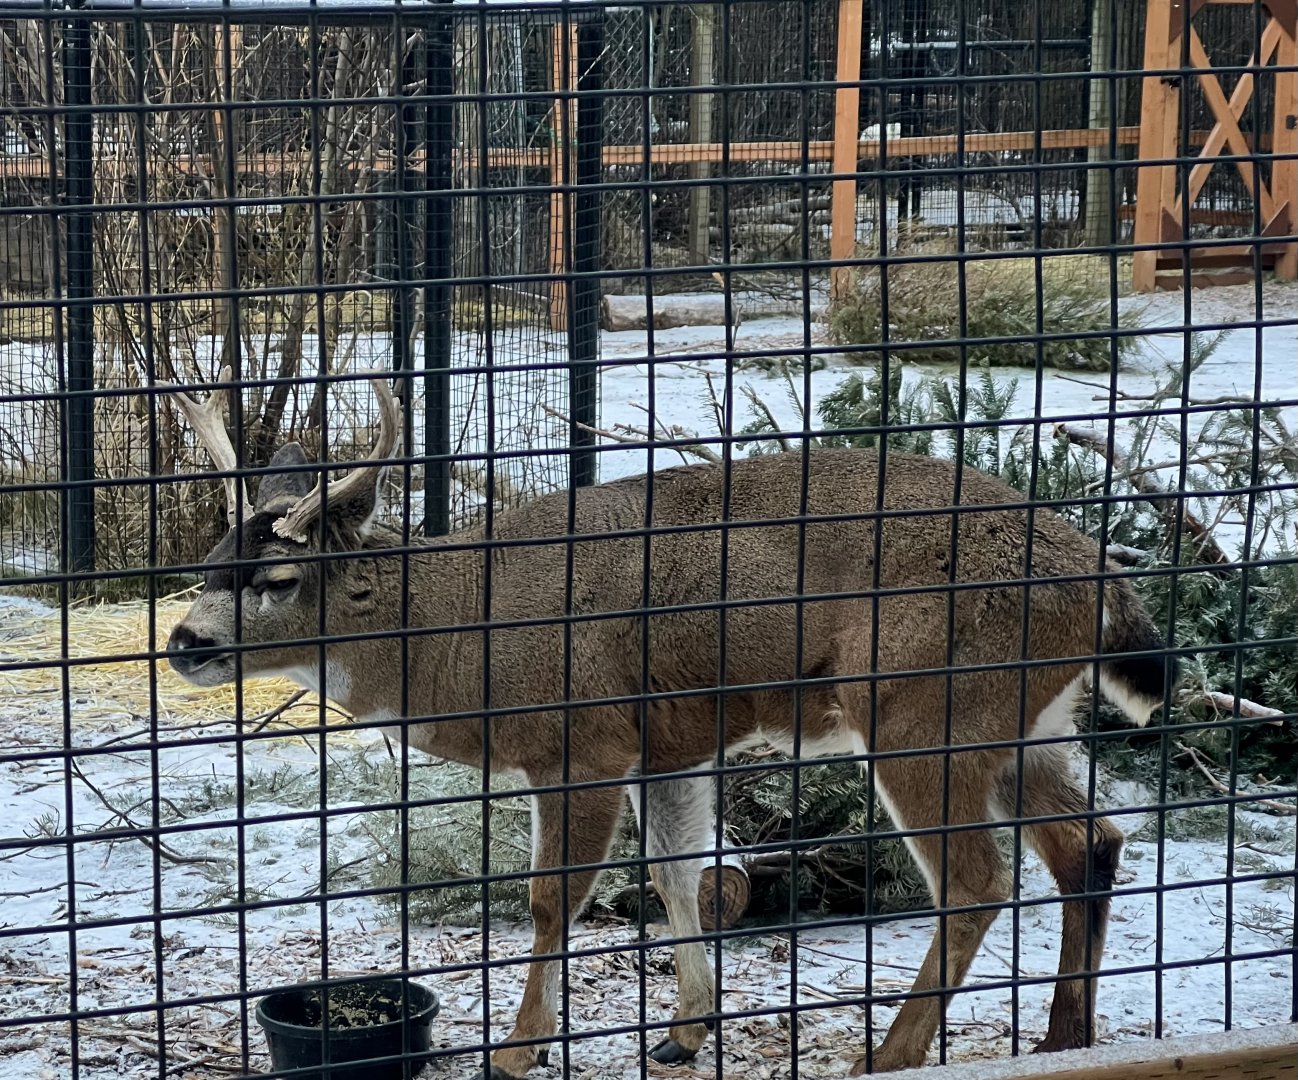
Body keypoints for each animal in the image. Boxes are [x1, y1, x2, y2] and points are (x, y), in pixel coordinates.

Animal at [164, 370, 1173, 1077]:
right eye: (209, 563)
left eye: (278, 579)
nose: (182, 642)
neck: (464, 638)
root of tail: (1097, 574)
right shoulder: (670, 746)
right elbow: (679, 873)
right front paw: (686, 1031)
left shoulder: (585, 739)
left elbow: (551, 898)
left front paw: (518, 1049)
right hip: (1025, 719)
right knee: (1090, 841)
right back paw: (1065, 1038)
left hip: (922, 706)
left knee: (976, 878)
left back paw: (889, 1054)